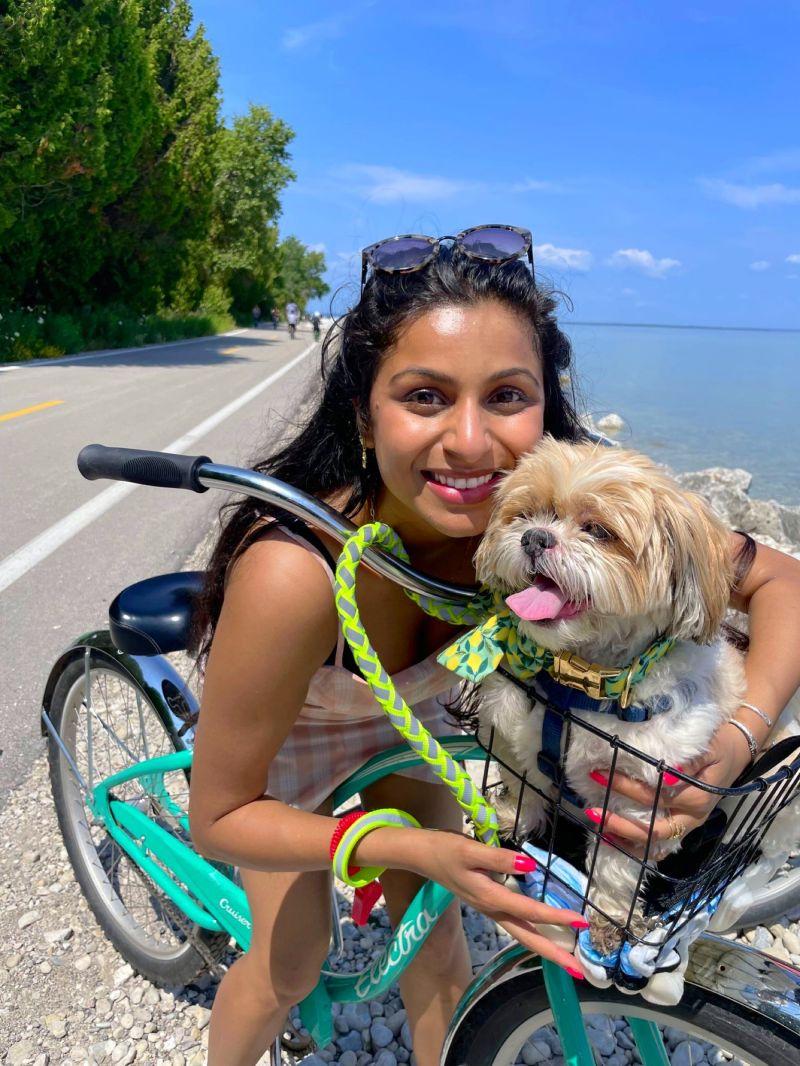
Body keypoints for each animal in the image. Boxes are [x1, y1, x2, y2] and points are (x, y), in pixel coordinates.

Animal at [473, 437, 750, 955]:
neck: (580, 684)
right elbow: (525, 786)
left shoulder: (633, 803)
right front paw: (510, 821)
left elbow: (617, 868)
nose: (535, 537)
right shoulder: (519, 738)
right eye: (527, 514)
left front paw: (608, 920)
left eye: (599, 531)